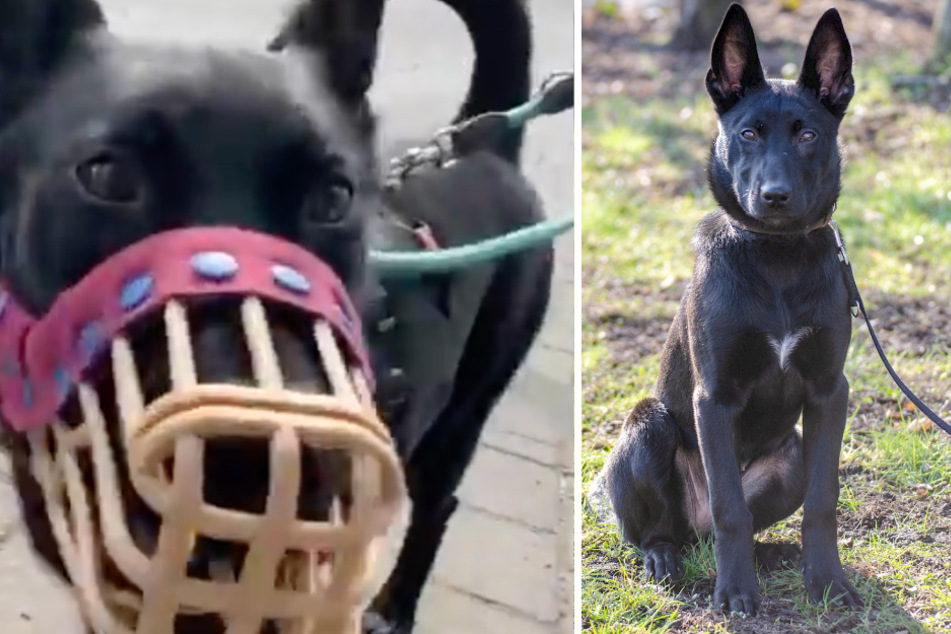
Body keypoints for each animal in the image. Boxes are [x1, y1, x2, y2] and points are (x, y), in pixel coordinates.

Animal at [0, 1, 556, 632]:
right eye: (108, 176)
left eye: (335, 196)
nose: (267, 458)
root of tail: (489, 146)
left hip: (463, 414)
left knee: (439, 503)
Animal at [588, 3, 864, 616]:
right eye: (748, 133)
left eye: (808, 134)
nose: (775, 197)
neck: (777, 256)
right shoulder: (711, 398)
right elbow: (729, 508)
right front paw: (736, 592)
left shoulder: (830, 391)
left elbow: (824, 498)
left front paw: (826, 580)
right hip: (649, 426)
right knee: (669, 528)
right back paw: (666, 558)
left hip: (790, 457)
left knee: (734, 521)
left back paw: (773, 556)